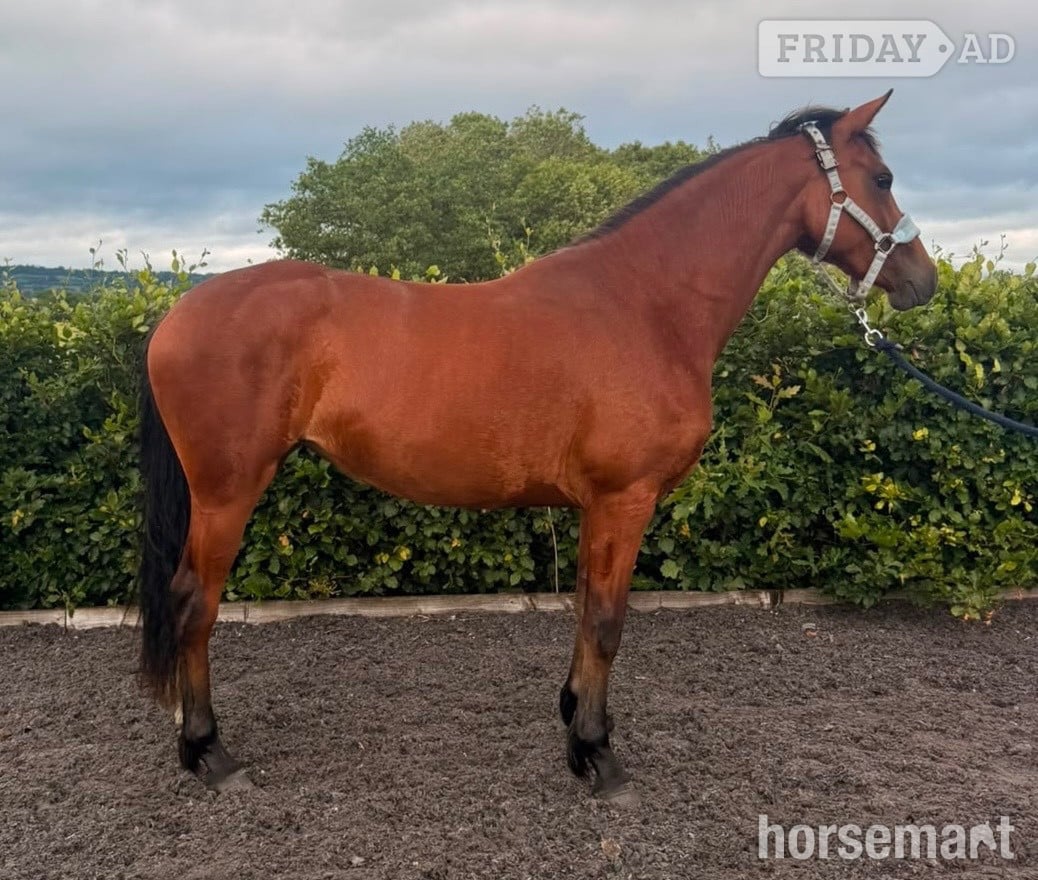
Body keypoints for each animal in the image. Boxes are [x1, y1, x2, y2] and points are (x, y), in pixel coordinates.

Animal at [138, 92, 936, 799]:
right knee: (194, 604)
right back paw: (209, 753)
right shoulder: (625, 498)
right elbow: (608, 622)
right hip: (227, 491)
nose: (922, 279)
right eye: (883, 178)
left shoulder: (595, 507)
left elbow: (585, 610)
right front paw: (599, 759)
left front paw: (580, 729)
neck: (645, 305)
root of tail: (179, 312)